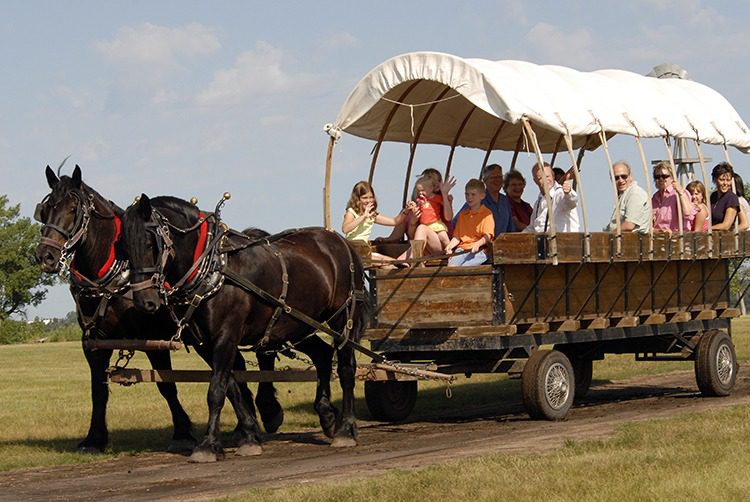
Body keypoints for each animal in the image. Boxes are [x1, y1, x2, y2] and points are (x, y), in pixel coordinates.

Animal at [34, 166, 284, 454]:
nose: (45, 255)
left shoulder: (153, 338)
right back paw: (246, 425)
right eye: (45, 209)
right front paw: (94, 438)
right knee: (238, 366)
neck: (113, 281)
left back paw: (269, 411)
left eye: (73, 208)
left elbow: (167, 385)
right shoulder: (94, 342)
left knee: (263, 353)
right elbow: (98, 389)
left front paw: (182, 432)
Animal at [122, 194, 368, 460]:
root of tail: (341, 243)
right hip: (296, 323)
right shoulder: (206, 344)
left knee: (346, 368)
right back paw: (327, 416)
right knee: (322, 354)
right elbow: (231, 388)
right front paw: (249, 435)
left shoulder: (226, 336)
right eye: (124, 248)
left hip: (342, 319)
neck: (213, 269)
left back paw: (345, 429)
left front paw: (208, 444)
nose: (144, 302)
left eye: (150, 244)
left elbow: (216, 390)